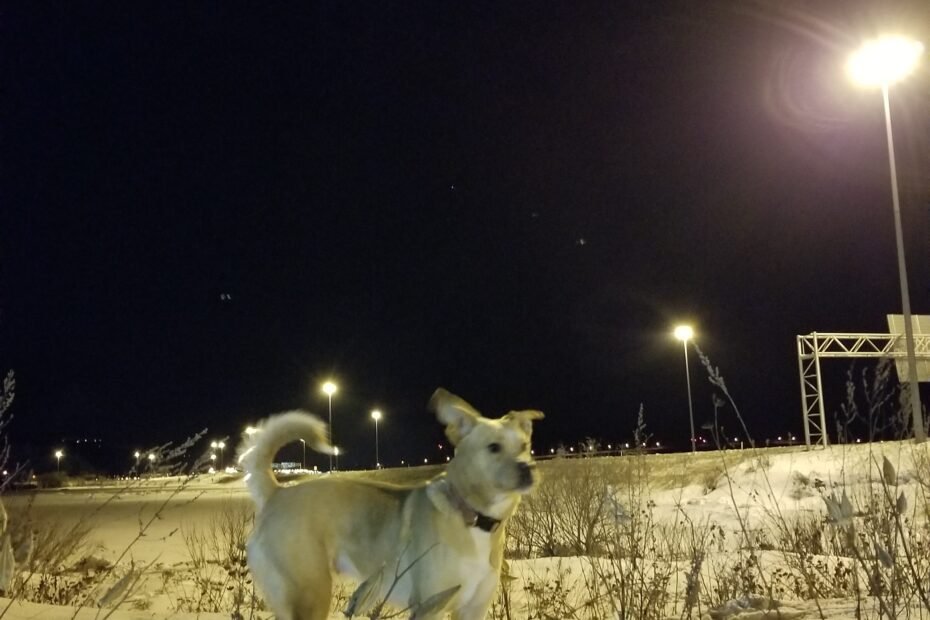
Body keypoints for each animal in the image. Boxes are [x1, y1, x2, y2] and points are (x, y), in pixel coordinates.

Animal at [237, 388, 543, 620]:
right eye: (493, 447)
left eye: (525, 446)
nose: (528, 469)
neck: (472, 516)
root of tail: (277, 492)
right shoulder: (428, 607)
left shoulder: (473, 609)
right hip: (310, 594)